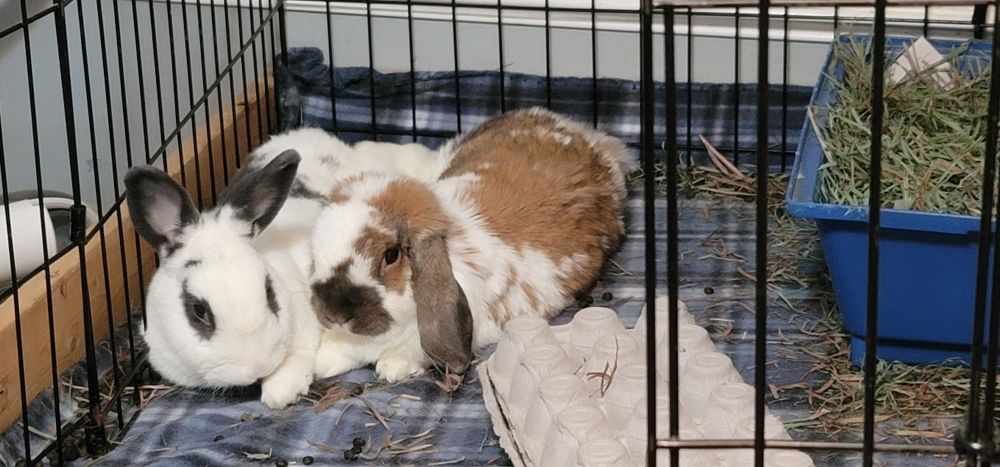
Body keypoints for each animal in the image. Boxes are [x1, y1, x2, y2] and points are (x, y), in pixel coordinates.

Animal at [306, 107, 636, 381]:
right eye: (316, 249)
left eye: (390, 255)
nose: (334, 314)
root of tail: (584, 133)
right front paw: (322, 363)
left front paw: (392, 369)